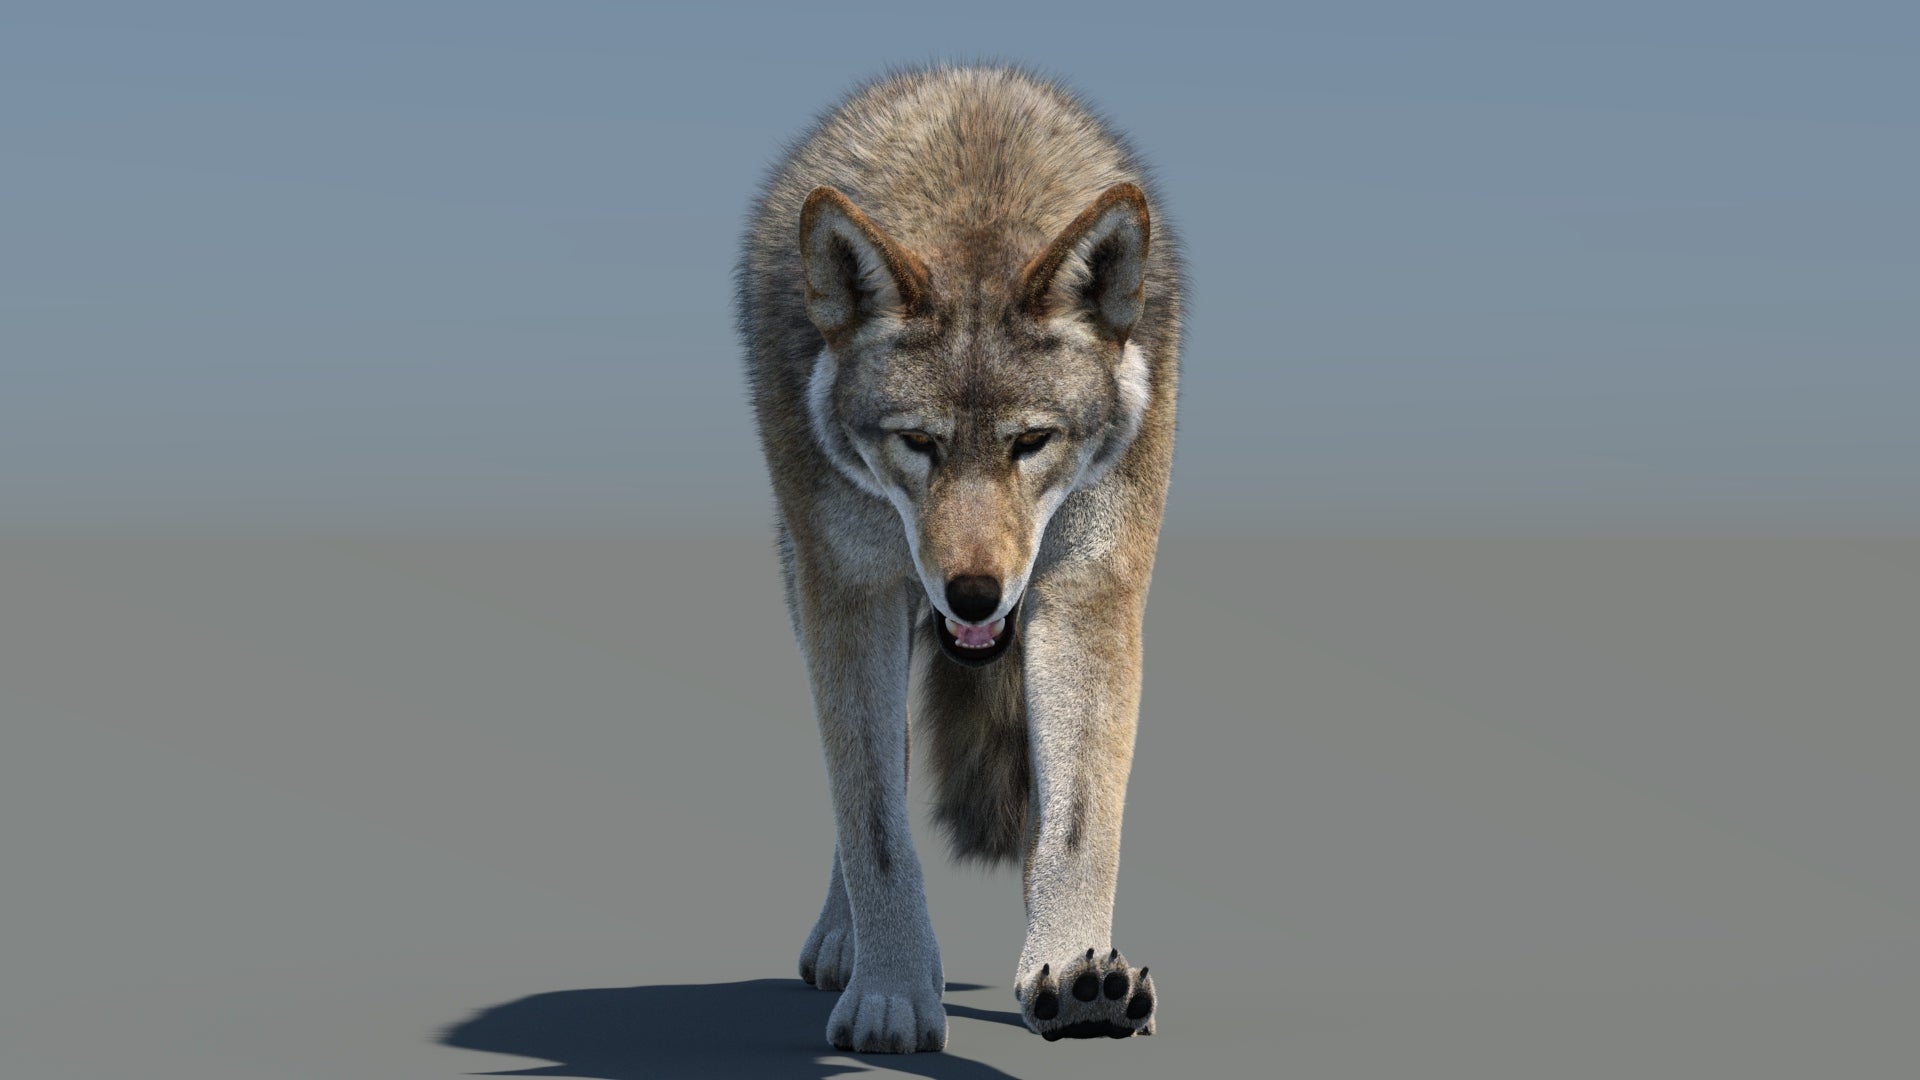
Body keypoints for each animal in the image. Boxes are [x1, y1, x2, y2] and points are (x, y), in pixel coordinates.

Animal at [736, 65, 1181, 1053]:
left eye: (1031, 442)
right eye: (919, 443)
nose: (974, 594)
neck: (978, 199)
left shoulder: (1087, 592)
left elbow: (1080, 821)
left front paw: (1074, 970)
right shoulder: (851, 594)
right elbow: (874, 824)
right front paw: (892, 995)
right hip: (808, 583)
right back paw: (842, 943)